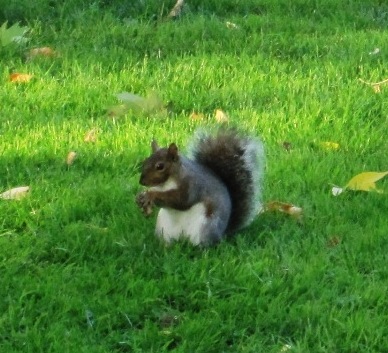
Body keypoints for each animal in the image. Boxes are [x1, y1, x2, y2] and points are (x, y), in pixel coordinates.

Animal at [135, 126, 266, 245]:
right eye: (145, 161)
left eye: (160, 166)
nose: (142, 182)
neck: (165, 184)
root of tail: (222, 234)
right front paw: (141, 197)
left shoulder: (192, 185)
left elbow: (181, 200)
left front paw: (151, 195)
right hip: (163, 229)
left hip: (204, 228)